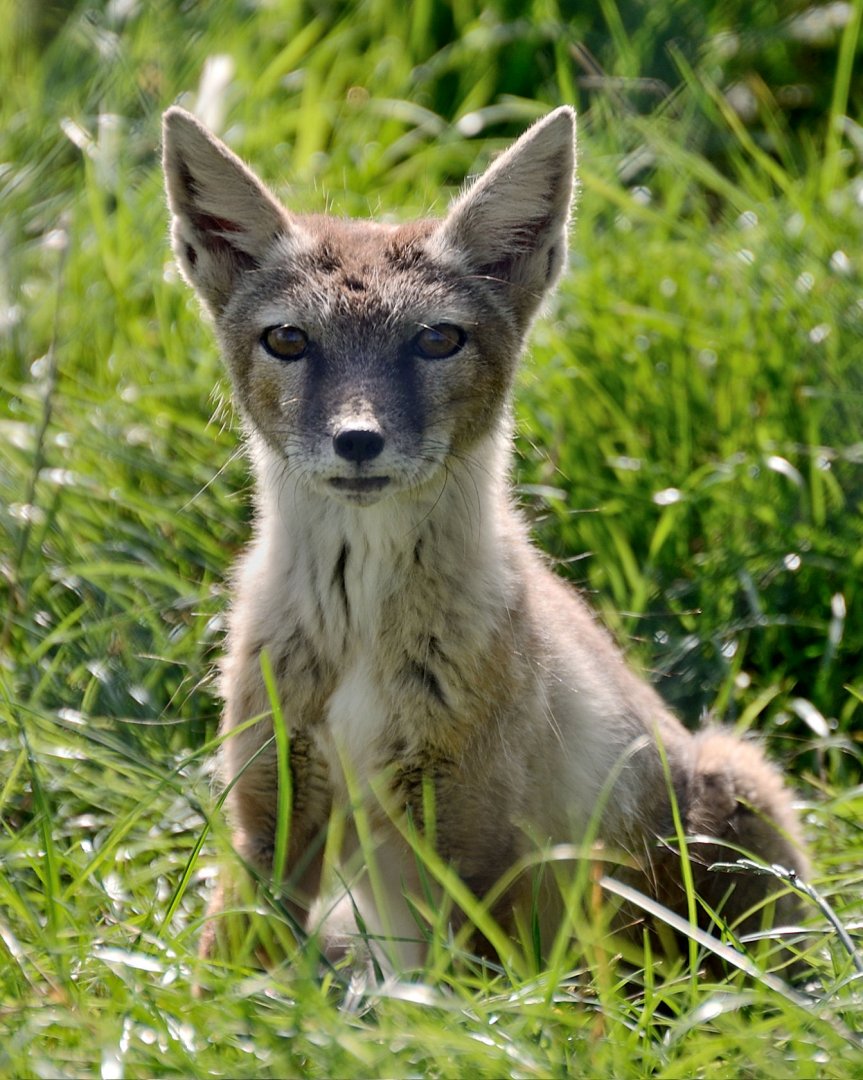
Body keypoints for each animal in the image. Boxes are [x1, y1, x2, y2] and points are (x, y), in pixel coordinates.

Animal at [162, 104, 808, 975]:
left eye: (436, 341)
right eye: (288, 341)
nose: (357, 440)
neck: (361, 629)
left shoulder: (473, 857)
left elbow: (477, 1002)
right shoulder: (269, 822)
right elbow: (220, 980)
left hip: (735, 795)